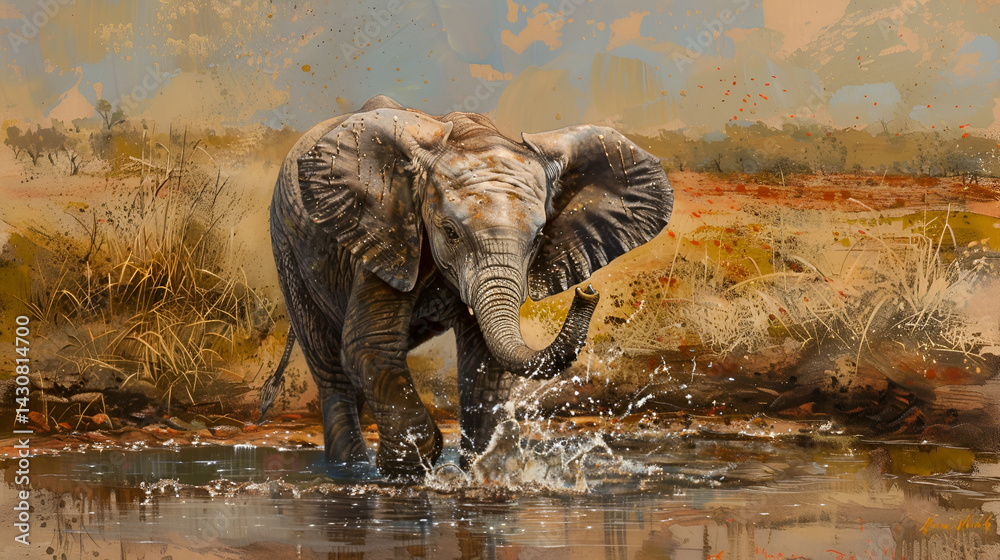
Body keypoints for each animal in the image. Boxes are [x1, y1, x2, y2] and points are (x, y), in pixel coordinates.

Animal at [260, 94, 673, 477]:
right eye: (450, 232)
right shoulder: (387, 230)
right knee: (331, 370)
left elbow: (484, 360)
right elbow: (370, 343)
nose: (587, 292)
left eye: (539, 237)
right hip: (288, 247)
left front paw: (485, 473)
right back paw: (350, 471)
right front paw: (406, 469)